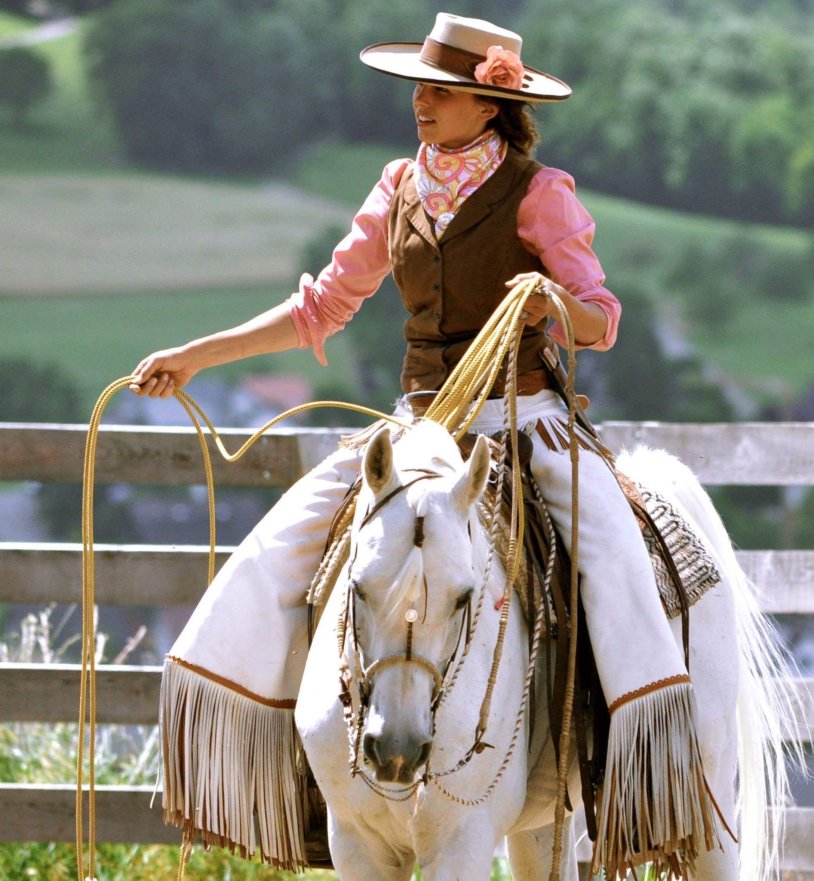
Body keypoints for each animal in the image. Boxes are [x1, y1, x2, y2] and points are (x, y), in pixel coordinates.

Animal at [295, 418, 797, 881]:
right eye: (358, 586)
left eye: (463, 596)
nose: (396, 748)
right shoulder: (357, 844)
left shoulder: (461, 842)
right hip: (538, 824)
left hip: (705, 783)